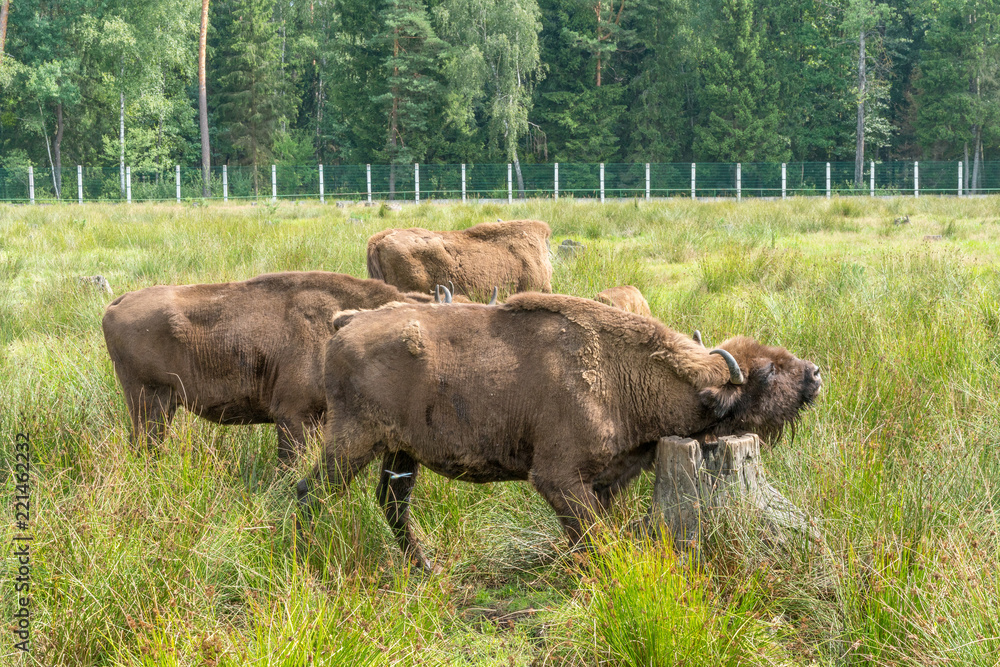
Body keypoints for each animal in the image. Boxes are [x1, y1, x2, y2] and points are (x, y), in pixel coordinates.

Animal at [299, 293, 821, 568]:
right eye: (767, 372)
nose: (815, 374)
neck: (623, 374)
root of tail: (344, 326)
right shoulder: (557, 477)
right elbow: (590, 534)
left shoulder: (604, 480)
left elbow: (592, 529)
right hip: (353, 442)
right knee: (312, 491)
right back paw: (309, 557)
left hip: (400, 451)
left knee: (392, 503)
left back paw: (426, 568)